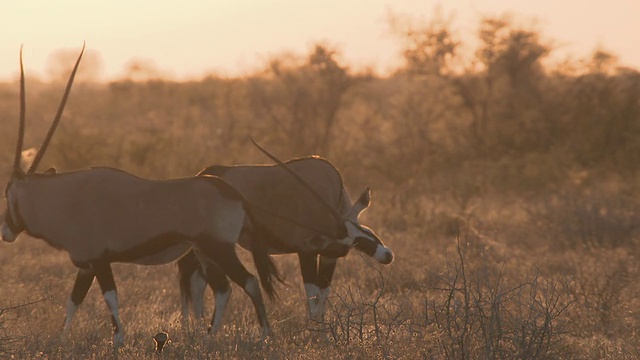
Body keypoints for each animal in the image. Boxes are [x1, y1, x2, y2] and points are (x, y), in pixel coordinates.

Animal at [1, 46, 282, 348]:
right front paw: (60, 340)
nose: (5, 232)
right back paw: (208, 337)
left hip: (219, 248)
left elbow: (110, 298)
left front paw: (117, 340)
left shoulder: (99, 261)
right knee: (223, 289)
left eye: (7, 193)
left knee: (249, 281)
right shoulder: (86, 266)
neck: (65, 197)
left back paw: (265, 334)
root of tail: (235, 195)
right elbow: (73, 301)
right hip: (205, 252)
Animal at [178, 148, 392, 322]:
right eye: (356, 240)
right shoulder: (306, 252)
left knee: (198, 279)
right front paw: (316, 335)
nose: (387, 255)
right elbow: (313, 299)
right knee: (188, 274)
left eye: (368, 231)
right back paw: (193, 327)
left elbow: (323, 298)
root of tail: (204, 173)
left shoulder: (329, 256)